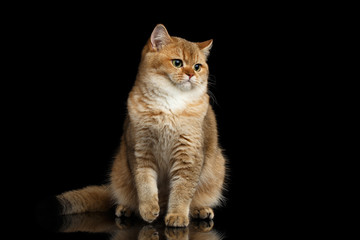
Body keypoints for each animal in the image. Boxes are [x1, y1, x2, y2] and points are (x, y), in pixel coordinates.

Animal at [54, 23, 226, 227]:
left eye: (198, 67)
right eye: (177, 63)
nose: (191, 74)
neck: (170, 106)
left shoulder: (189, 155)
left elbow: (182, 190)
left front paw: (177, 215)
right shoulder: (140, 149)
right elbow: (145, 185)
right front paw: (149, 209)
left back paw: (201, 210)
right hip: (119, 171)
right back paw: (126, 209)